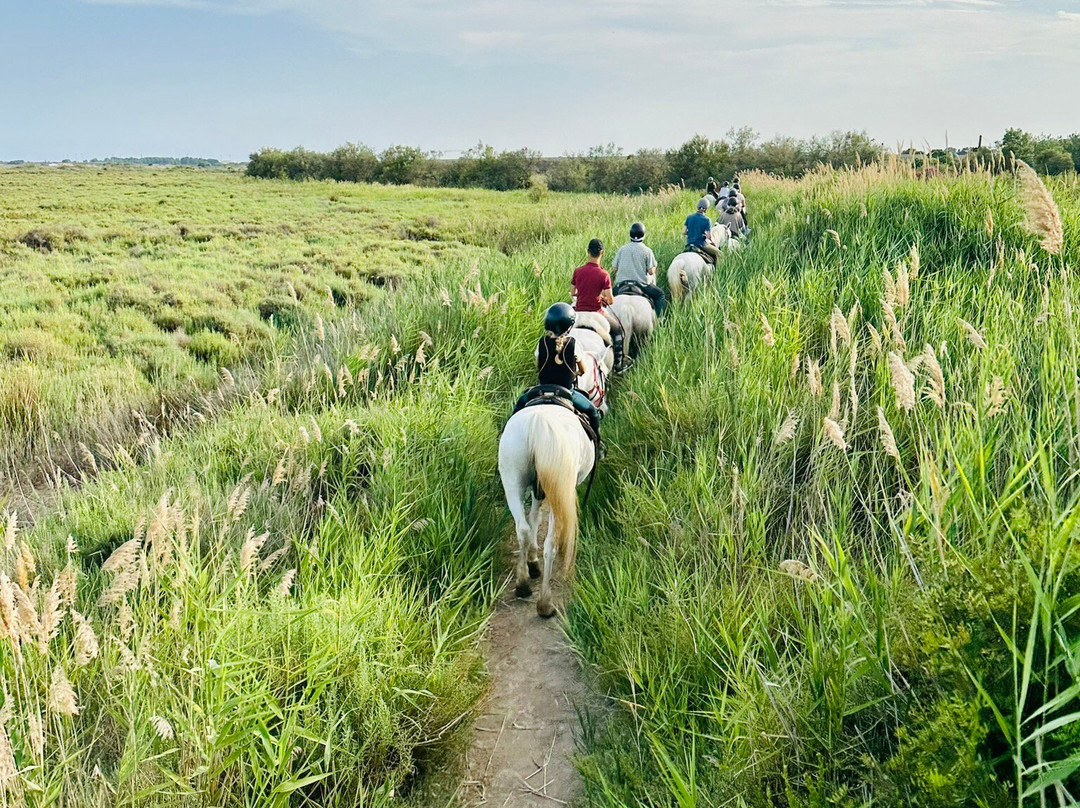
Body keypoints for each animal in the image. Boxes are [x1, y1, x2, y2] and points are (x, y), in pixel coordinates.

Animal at [498, 406, 596, 613]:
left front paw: (532, 561)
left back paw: (523, 584)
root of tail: (538, 423)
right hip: (557, 488)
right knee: (550, 543)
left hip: (512, 479)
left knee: (522, 528)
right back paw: (545, 602)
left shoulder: (538, 489)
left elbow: (534, 518)